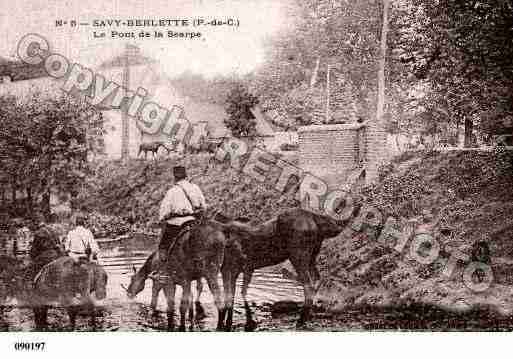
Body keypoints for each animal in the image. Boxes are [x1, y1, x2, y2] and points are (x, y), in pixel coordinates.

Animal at [218, 208, 358, 332]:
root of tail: (316, 219)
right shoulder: (238, 270)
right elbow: (235, 294)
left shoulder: (234, 269)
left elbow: (234, 295)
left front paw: (229, 325)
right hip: (312, 256)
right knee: (317, 279)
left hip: (298, 256)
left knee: (308, 285)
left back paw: (300, 320)